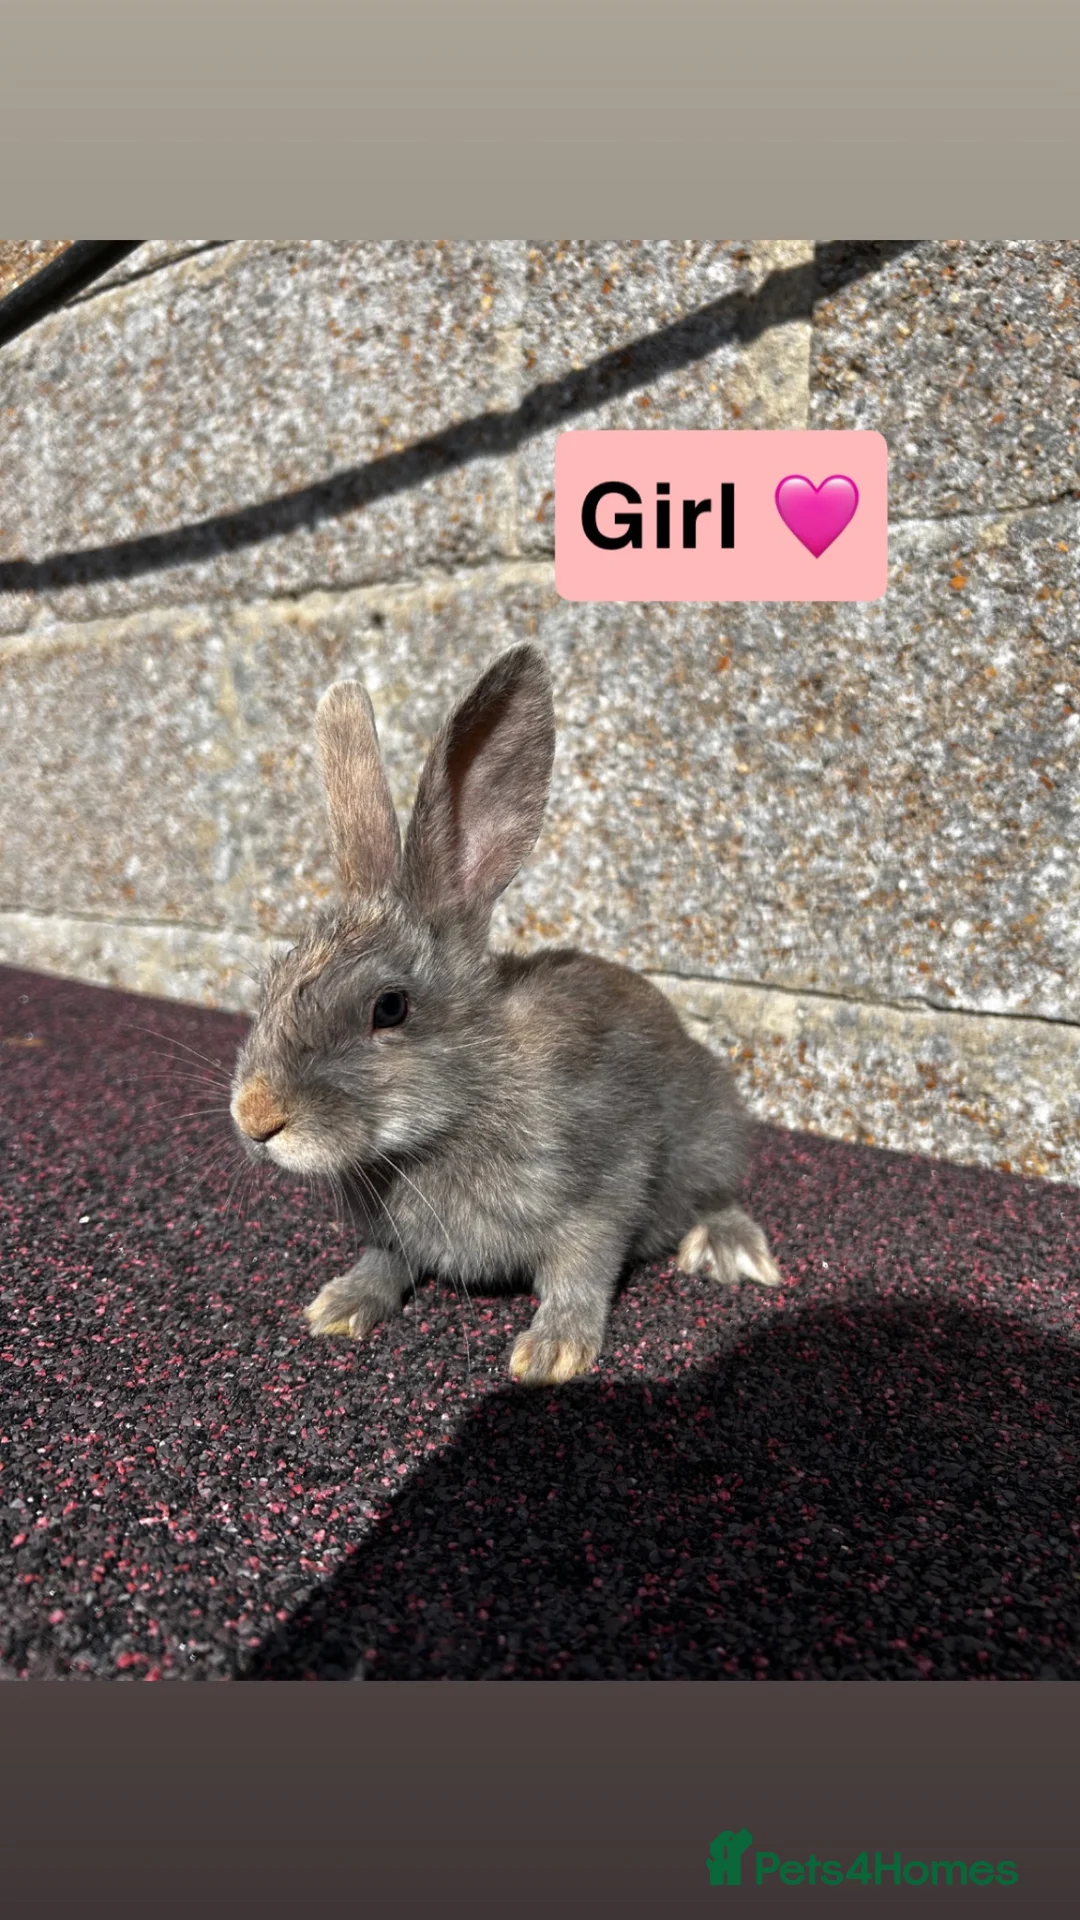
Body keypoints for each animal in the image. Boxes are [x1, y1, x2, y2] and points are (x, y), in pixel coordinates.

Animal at [229, 643, 781, 1386]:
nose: (255, 1117)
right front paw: (339, 1306)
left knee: (714, 1194)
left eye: (389, 1007)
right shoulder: (393, 1236)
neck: (455, 1111)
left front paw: (553, 1352)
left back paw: (730, 1250)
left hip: (711, 1137)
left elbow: (581, 1271)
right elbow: (384, 1262)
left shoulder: (603, 1185)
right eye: (275, 981)